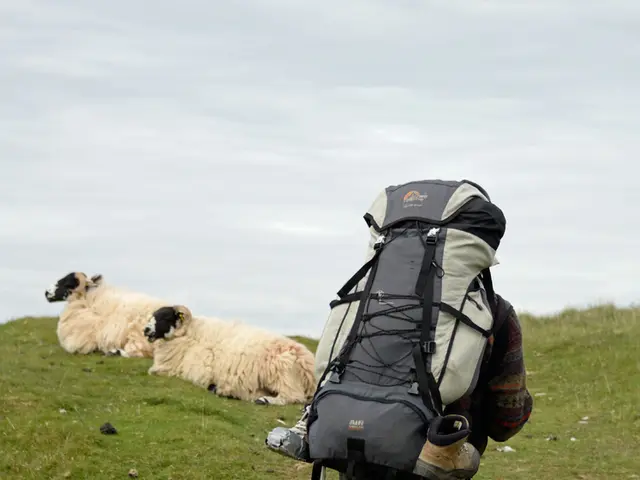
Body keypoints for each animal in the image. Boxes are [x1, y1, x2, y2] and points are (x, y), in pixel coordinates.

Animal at [143, 304, 317, 406]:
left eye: (166, 317)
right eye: (153, 315)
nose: (145, 330)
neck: (190, 334)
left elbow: (153, 372)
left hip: (285, 372)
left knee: (293, 396)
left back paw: (264, 400)